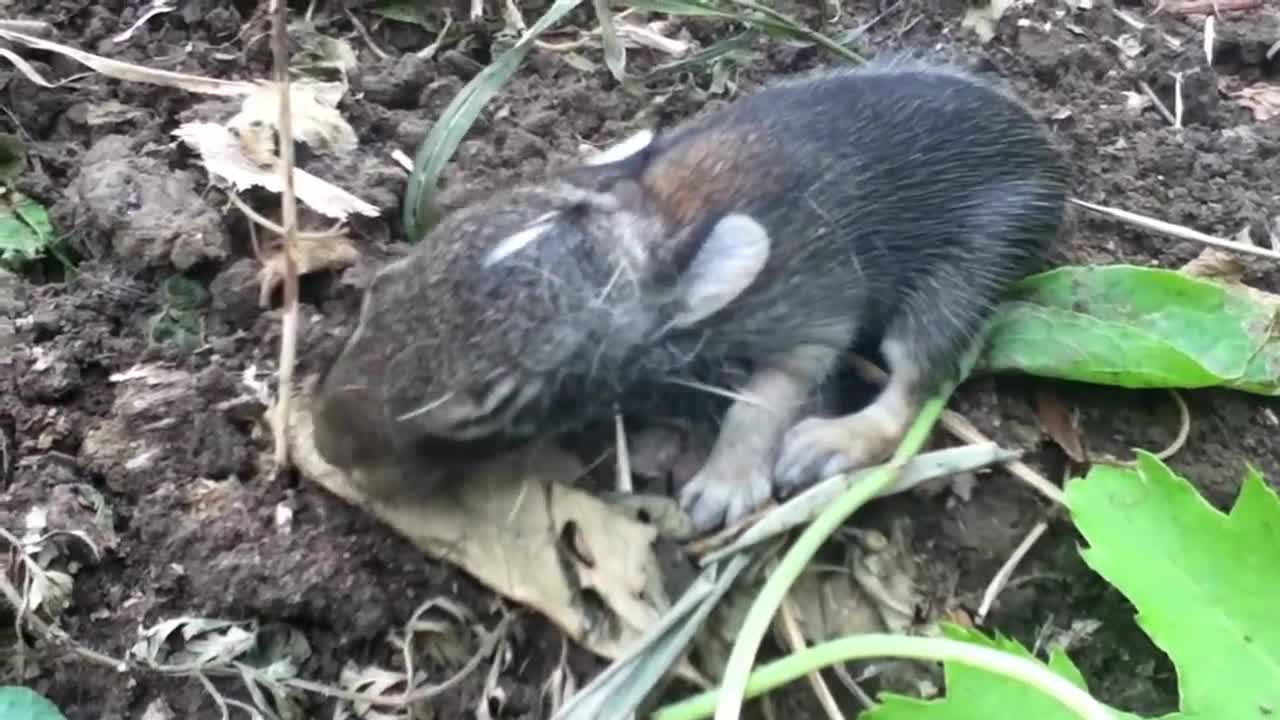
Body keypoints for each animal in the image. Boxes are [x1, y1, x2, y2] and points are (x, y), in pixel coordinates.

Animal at [312, 56, 1070, 530]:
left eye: (494, 404)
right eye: (381, 293)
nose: (328, 449)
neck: (648, 223)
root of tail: (1042, 152)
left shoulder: (812, 307)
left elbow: (764, 398)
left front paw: (722, 490)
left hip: (969, 265)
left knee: (914, 378)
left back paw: (829, 444)